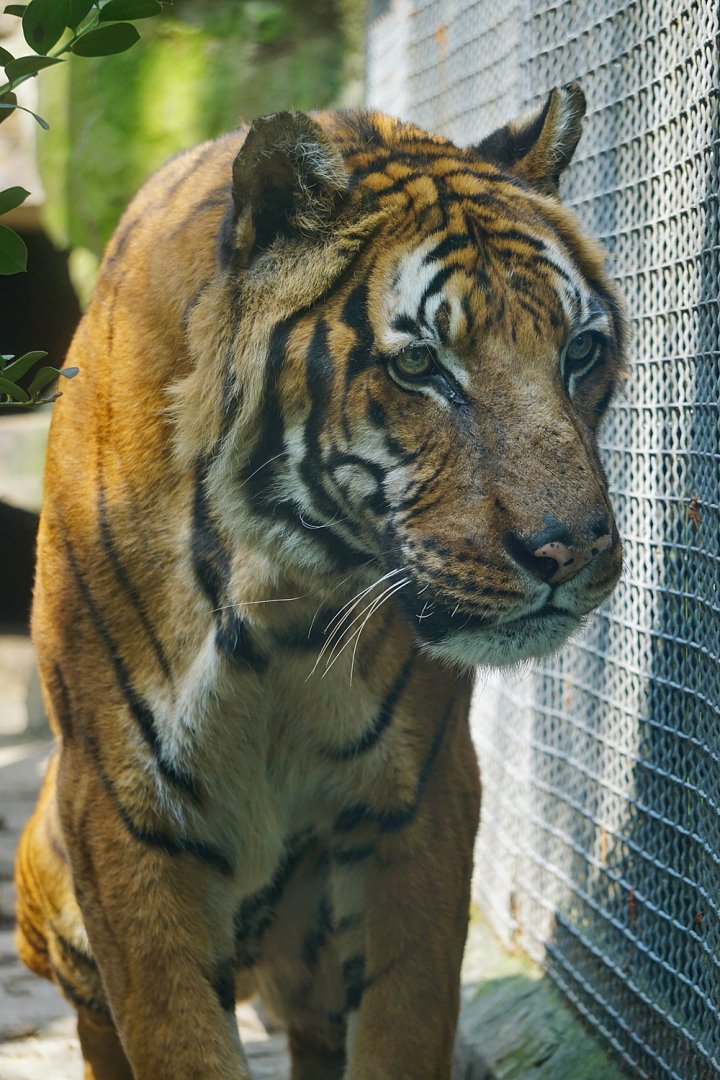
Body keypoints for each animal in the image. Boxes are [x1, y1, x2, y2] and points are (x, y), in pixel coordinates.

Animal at [15, 83, 625, 1080]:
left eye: (579, 353)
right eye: (419, 365)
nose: (568, 551)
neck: (284, 598)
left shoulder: (417, 798)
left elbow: (405, 1022)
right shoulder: (122, 810)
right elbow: (176, 1037)